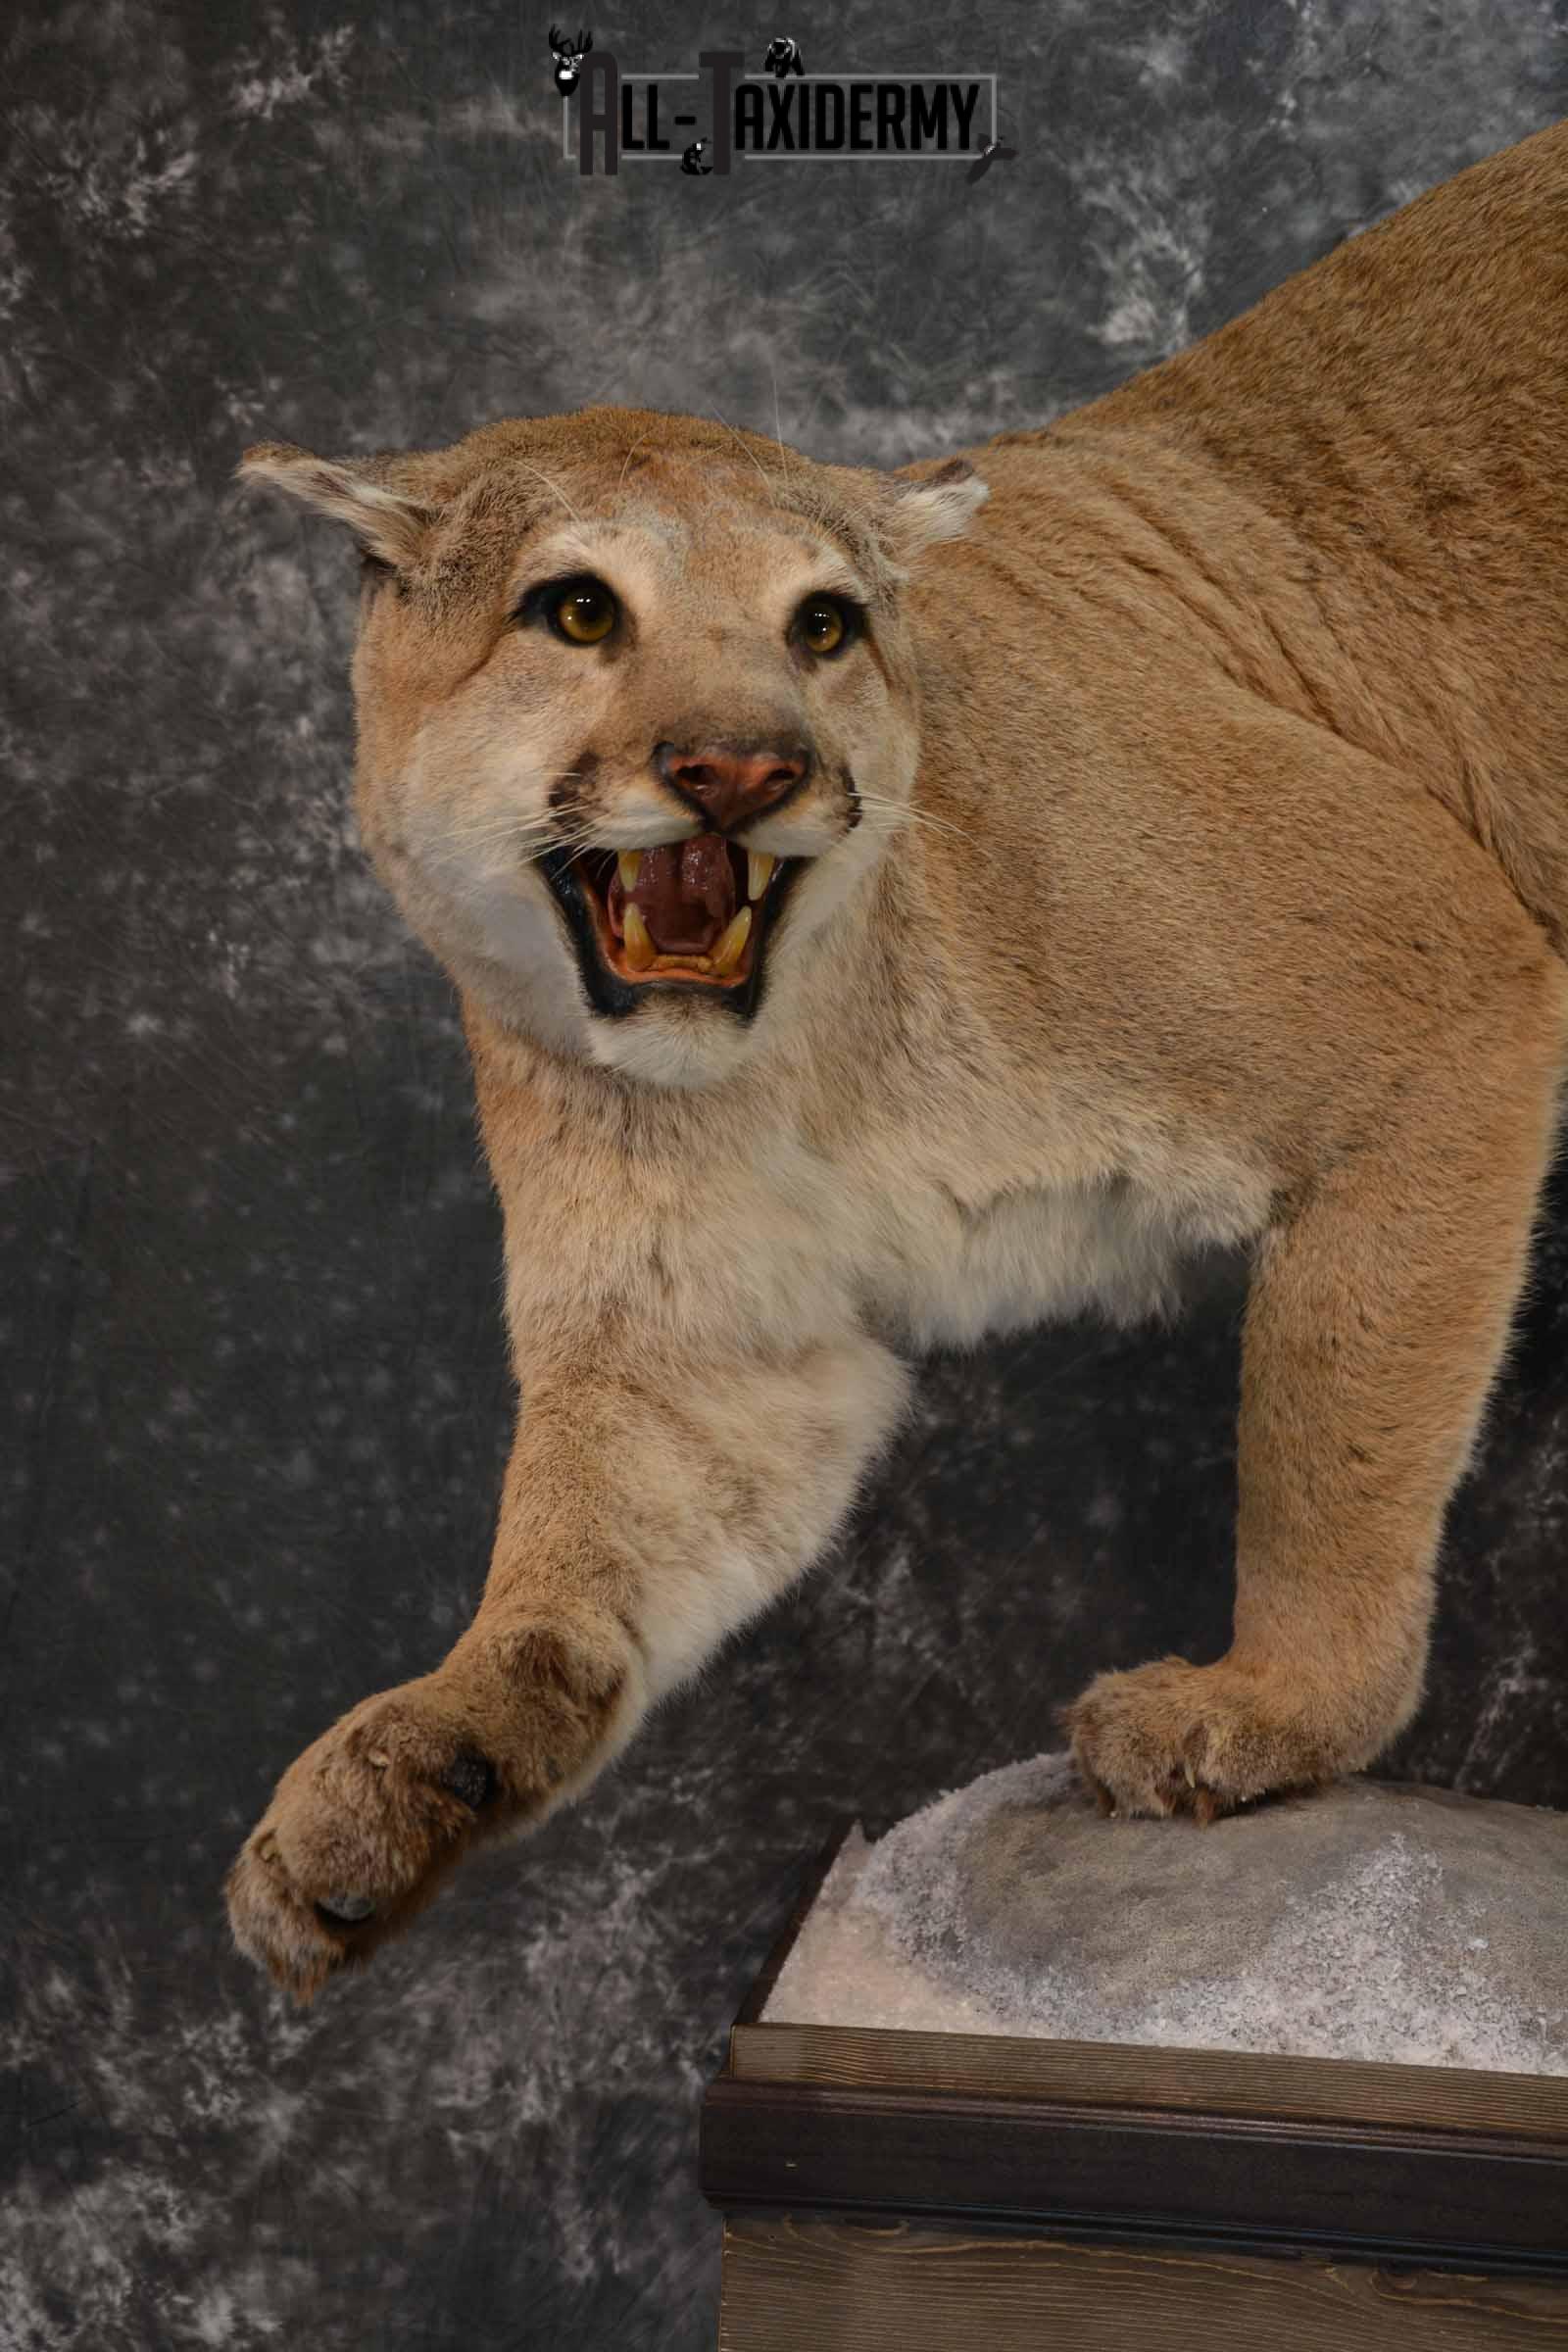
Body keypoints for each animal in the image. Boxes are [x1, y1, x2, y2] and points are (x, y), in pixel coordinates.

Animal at [227, 118, 1568, 2000]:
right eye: (576, 612)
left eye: (822, 627)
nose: (741, 767)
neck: (819, 1057)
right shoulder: (700, 1340)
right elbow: (584, 1549)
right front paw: (402, 1777)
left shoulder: (1441, 990)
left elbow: (1332, 1421)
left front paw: (1277, 1707)